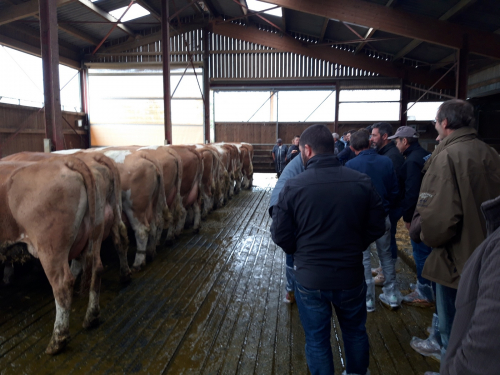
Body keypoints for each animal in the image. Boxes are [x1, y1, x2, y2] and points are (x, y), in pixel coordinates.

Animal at [0, 156, 101, 356]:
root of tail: (65, 161)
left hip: (50, 249)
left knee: (62, 285)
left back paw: (57, 340)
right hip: (89, 237)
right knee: (96, 268)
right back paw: (91, 317)